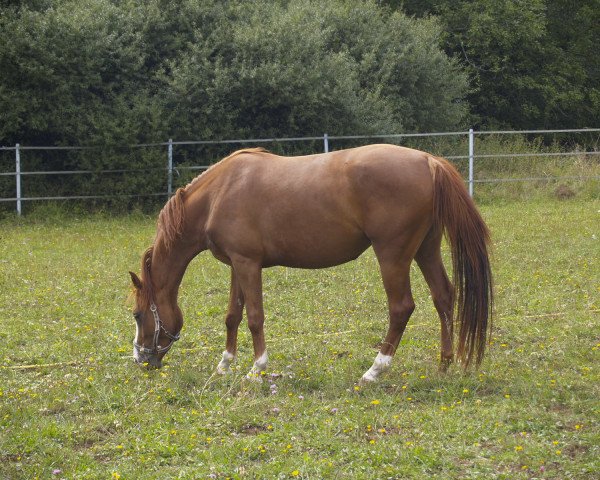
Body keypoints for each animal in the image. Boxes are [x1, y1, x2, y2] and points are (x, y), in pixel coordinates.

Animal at [130, 144, 492, 384]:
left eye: (136, 314)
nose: (140, 360)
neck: (219, 194)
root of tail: (428, 161)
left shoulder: (248, 264)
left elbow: (255, 318)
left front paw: (256, 369)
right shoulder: (237, 264)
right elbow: (233, 315)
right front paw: (224, 365)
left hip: (393, 254)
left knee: (401, 307)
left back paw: (374, 370)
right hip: (425, 249)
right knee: (443, 296)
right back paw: (444, 364)